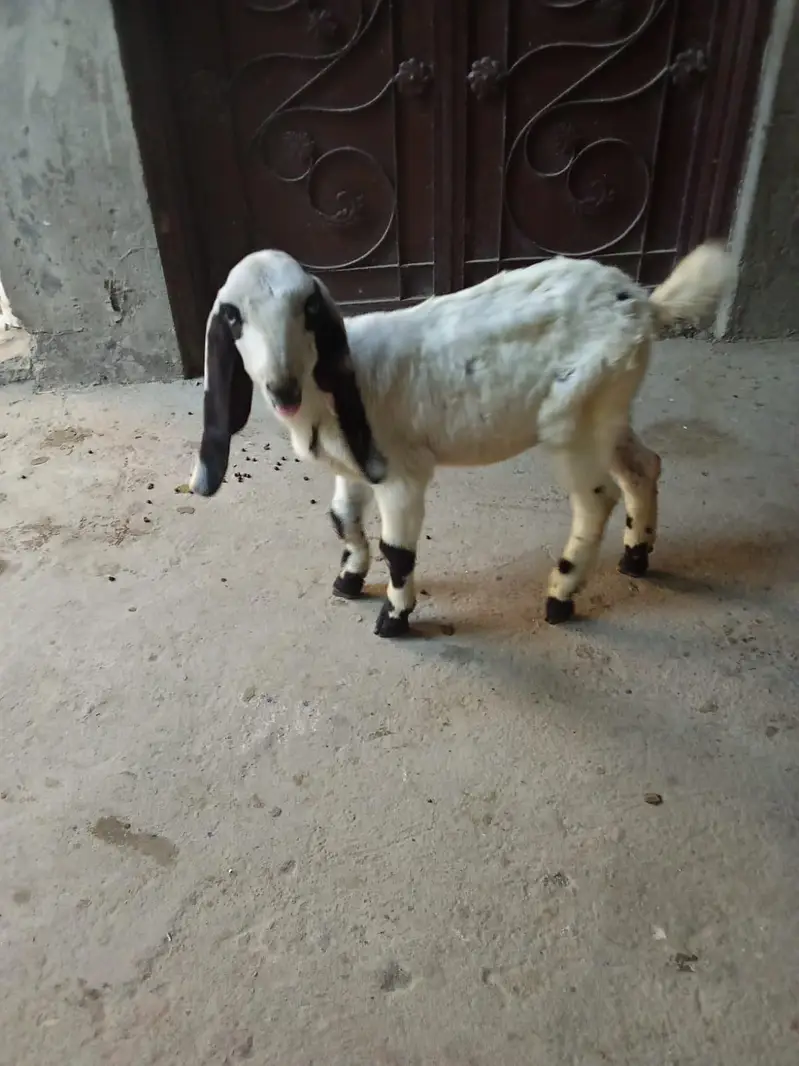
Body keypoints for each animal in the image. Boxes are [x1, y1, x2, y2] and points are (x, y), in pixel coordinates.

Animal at [190, 244, 733, 637]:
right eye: (233, 316)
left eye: (307, 307)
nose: (282, 389)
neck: (334, 387)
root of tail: (644, 303)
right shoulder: (353, 468)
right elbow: (342, 520)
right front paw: (348, 580)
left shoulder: (402, 474)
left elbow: (397, 551)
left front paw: (394, 618)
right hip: (610, 409)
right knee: (643, 466)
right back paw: (636, 558)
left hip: (572, 424)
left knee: (597, 500)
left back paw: (560, 596)